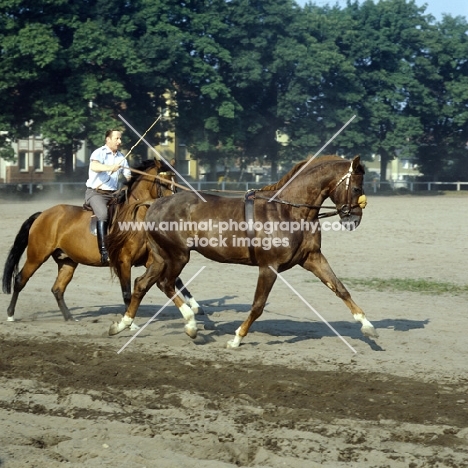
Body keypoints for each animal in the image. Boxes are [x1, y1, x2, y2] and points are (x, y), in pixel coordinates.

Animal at [1, 159, 200, 324]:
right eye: (164, 181)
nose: (174, 202)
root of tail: (43, 214)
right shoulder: (124, 262)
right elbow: (127, 294)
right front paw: (129, 323)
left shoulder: (152, 259)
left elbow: (176, 280)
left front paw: (194, 305)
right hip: (37, 256)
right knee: (20, 280)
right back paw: (10, 314)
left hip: (67, 261)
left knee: (57, 289)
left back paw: (69, 317)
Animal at [110, 155, 380, 346]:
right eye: (357, 188)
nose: (354, 219)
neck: (289, 211)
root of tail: (155, 203)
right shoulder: (269, 267)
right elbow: (258, 305)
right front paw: (237, 338)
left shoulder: (312, 258)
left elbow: (340, 288)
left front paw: (366, 325)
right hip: (177, 255)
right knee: (165, 283)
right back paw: (190, 323)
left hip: (160, 257)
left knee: (142, 284)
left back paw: (123, 323)